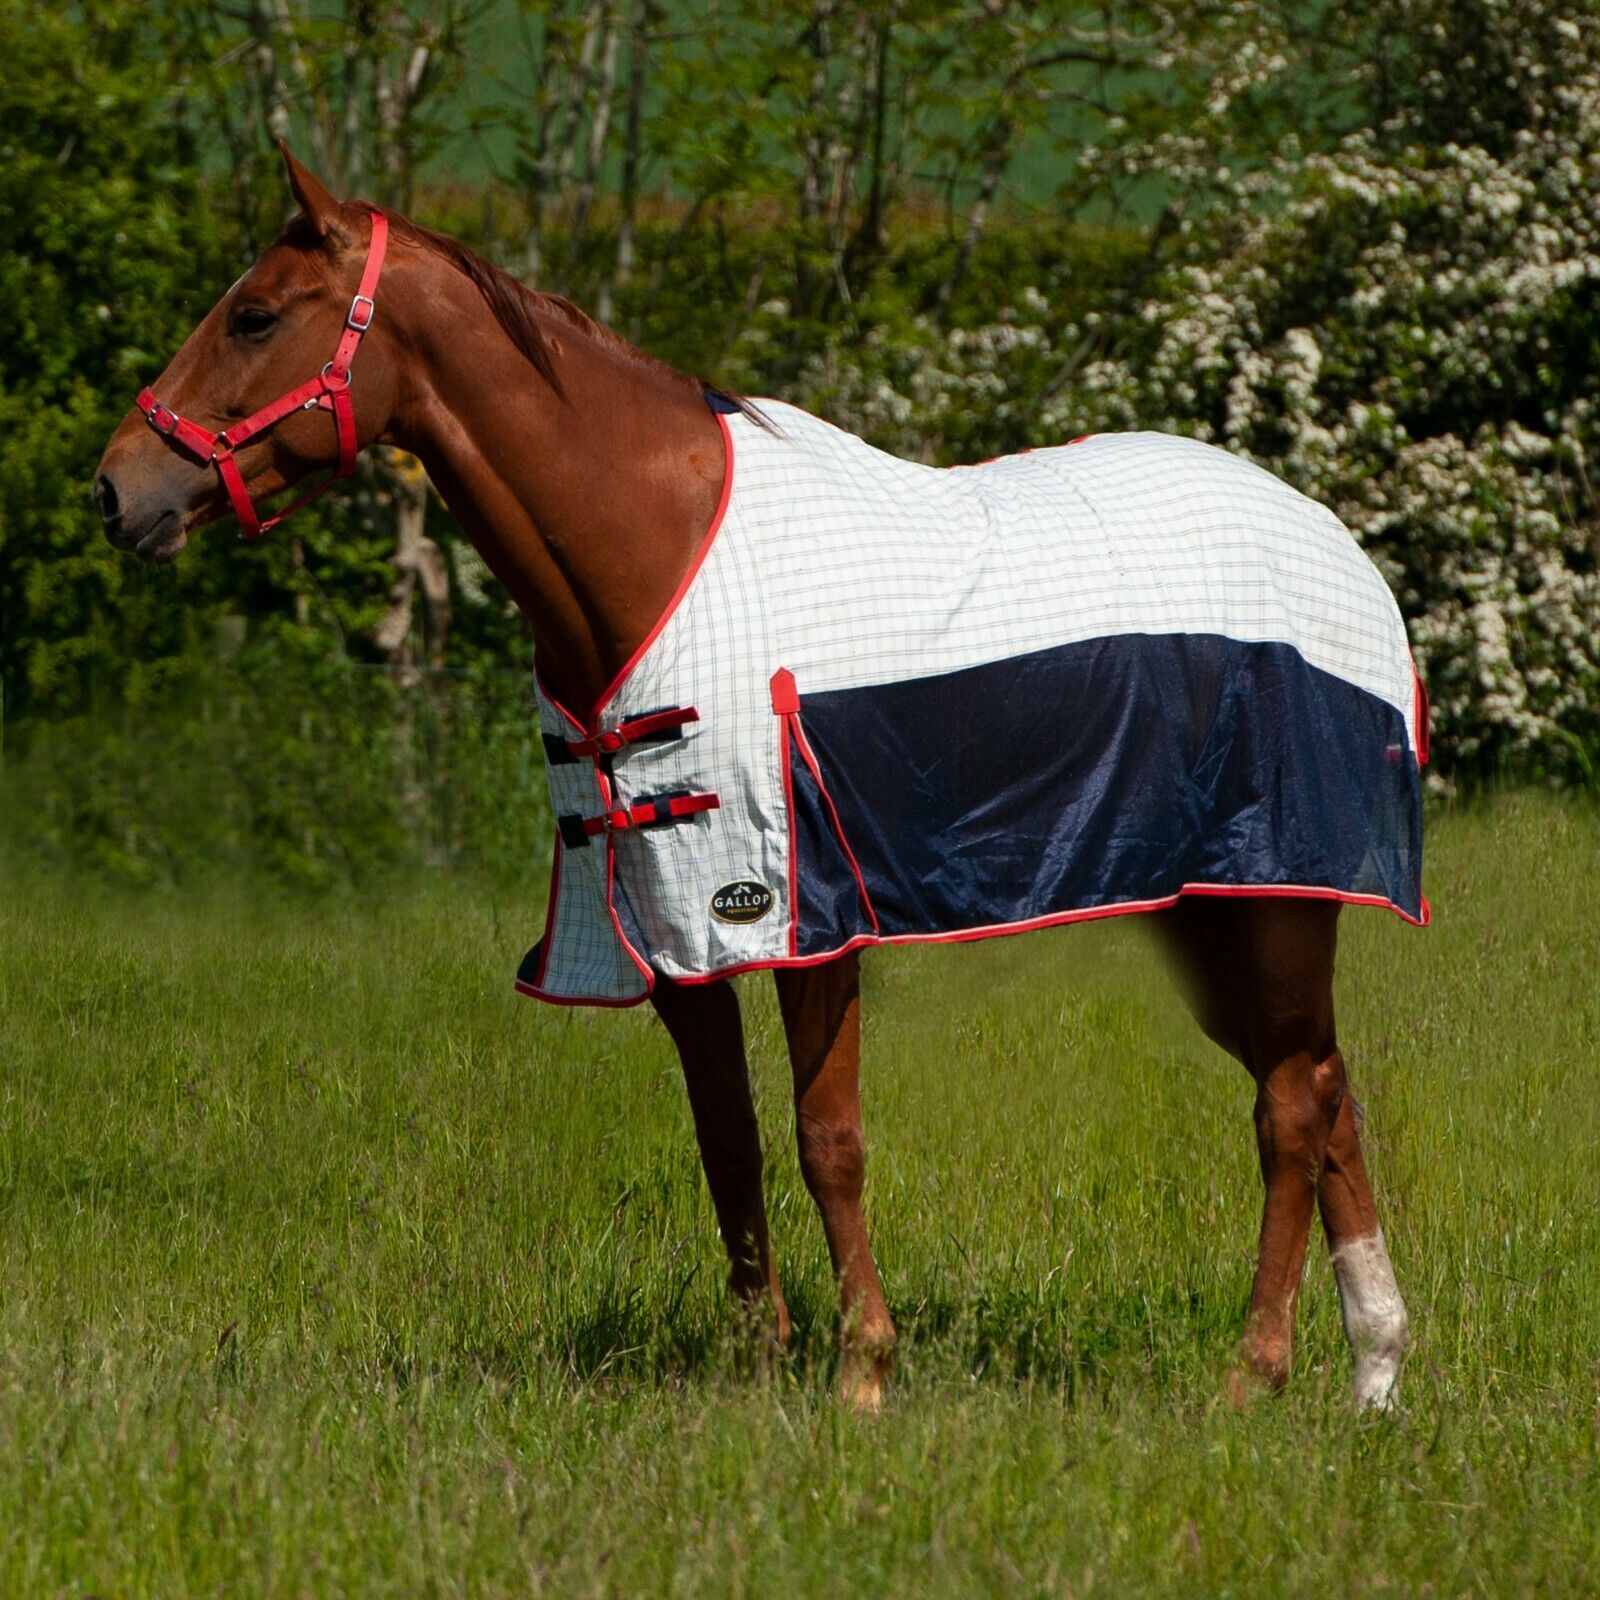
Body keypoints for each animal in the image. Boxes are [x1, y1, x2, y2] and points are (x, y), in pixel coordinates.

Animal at [95, 145, 1416, 1412]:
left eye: (255, 316)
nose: (115, 491)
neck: (653, 547)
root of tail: (1334, 541)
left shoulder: (800, 920)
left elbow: (826, 1137)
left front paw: (861, 1370)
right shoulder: (669, 926)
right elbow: (725, 1137)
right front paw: (755, 1360)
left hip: (1274, 901)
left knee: (1289, 1111)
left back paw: (1256, 1370)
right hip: (1213, 917)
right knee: (1328, 1090)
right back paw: (1374, 1373)